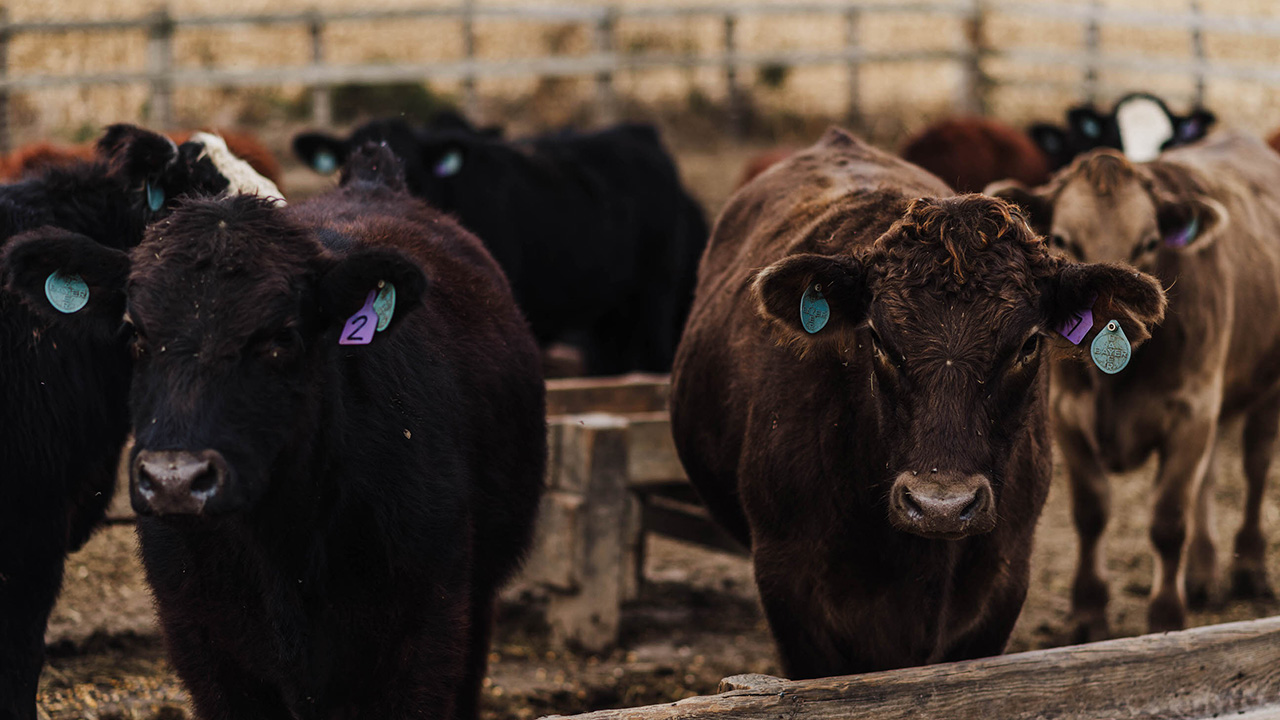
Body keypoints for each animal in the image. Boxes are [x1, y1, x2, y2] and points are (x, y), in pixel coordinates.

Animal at [987, 131, 1280, 641]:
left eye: (1149, 242)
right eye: (1062, 239)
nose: (1113, 316)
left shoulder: (1191, 412)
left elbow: (1168, 520)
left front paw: (1166, 618)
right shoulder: (1067, 414)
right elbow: (1091, 513)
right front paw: (1087, 614)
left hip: (1268, 386)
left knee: (1256, 465)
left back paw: (1249, 568)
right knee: (1209, 477)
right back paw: (1203, 574)